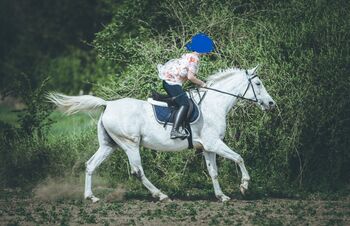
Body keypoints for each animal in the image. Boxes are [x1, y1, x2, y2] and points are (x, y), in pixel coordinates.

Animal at [47, 65, 274, 203]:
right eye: (258, 84)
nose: (271, 103)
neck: (213, 105)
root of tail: (108, 104)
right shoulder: (214, 143)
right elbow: (239, 157)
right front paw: (244, 185)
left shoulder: (208, 147)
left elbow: (214, 172)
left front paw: (222, 196)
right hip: (130, 144)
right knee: (138, 171)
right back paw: (161, 195)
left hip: (108, 145)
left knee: (90, 165)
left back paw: (91, 197)